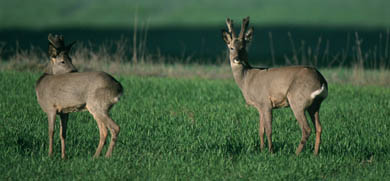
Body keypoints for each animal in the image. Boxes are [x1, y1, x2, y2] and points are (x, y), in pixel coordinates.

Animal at [221, 17, 328, 156]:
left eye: (243, 47)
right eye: (231, 48)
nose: (237, 59)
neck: (247, 79)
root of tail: (321, 81)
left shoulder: (265, 102)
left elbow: (269, 130)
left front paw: (271, 152)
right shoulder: (260, 106)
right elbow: (260, 130)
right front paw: (262, 150)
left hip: (297, 100)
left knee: (307, 129)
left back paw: (296, 154)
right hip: (315, 105)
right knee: (319, 128)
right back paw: (315, 153)